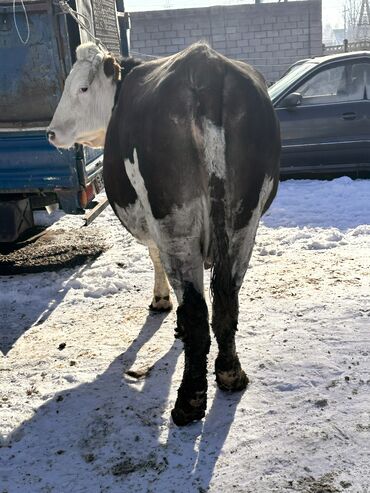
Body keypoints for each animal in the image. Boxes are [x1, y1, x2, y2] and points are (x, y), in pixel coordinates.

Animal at [48, 42, 280, 424]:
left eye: (81, 87)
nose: (51, 132)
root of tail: (205, 66)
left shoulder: (150, 220)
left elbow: (155, 258)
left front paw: (161, 301)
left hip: (174, 219)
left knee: (197, 310)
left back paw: (189, 400)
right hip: (244, 219)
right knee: (226, 299)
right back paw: (231, 375)